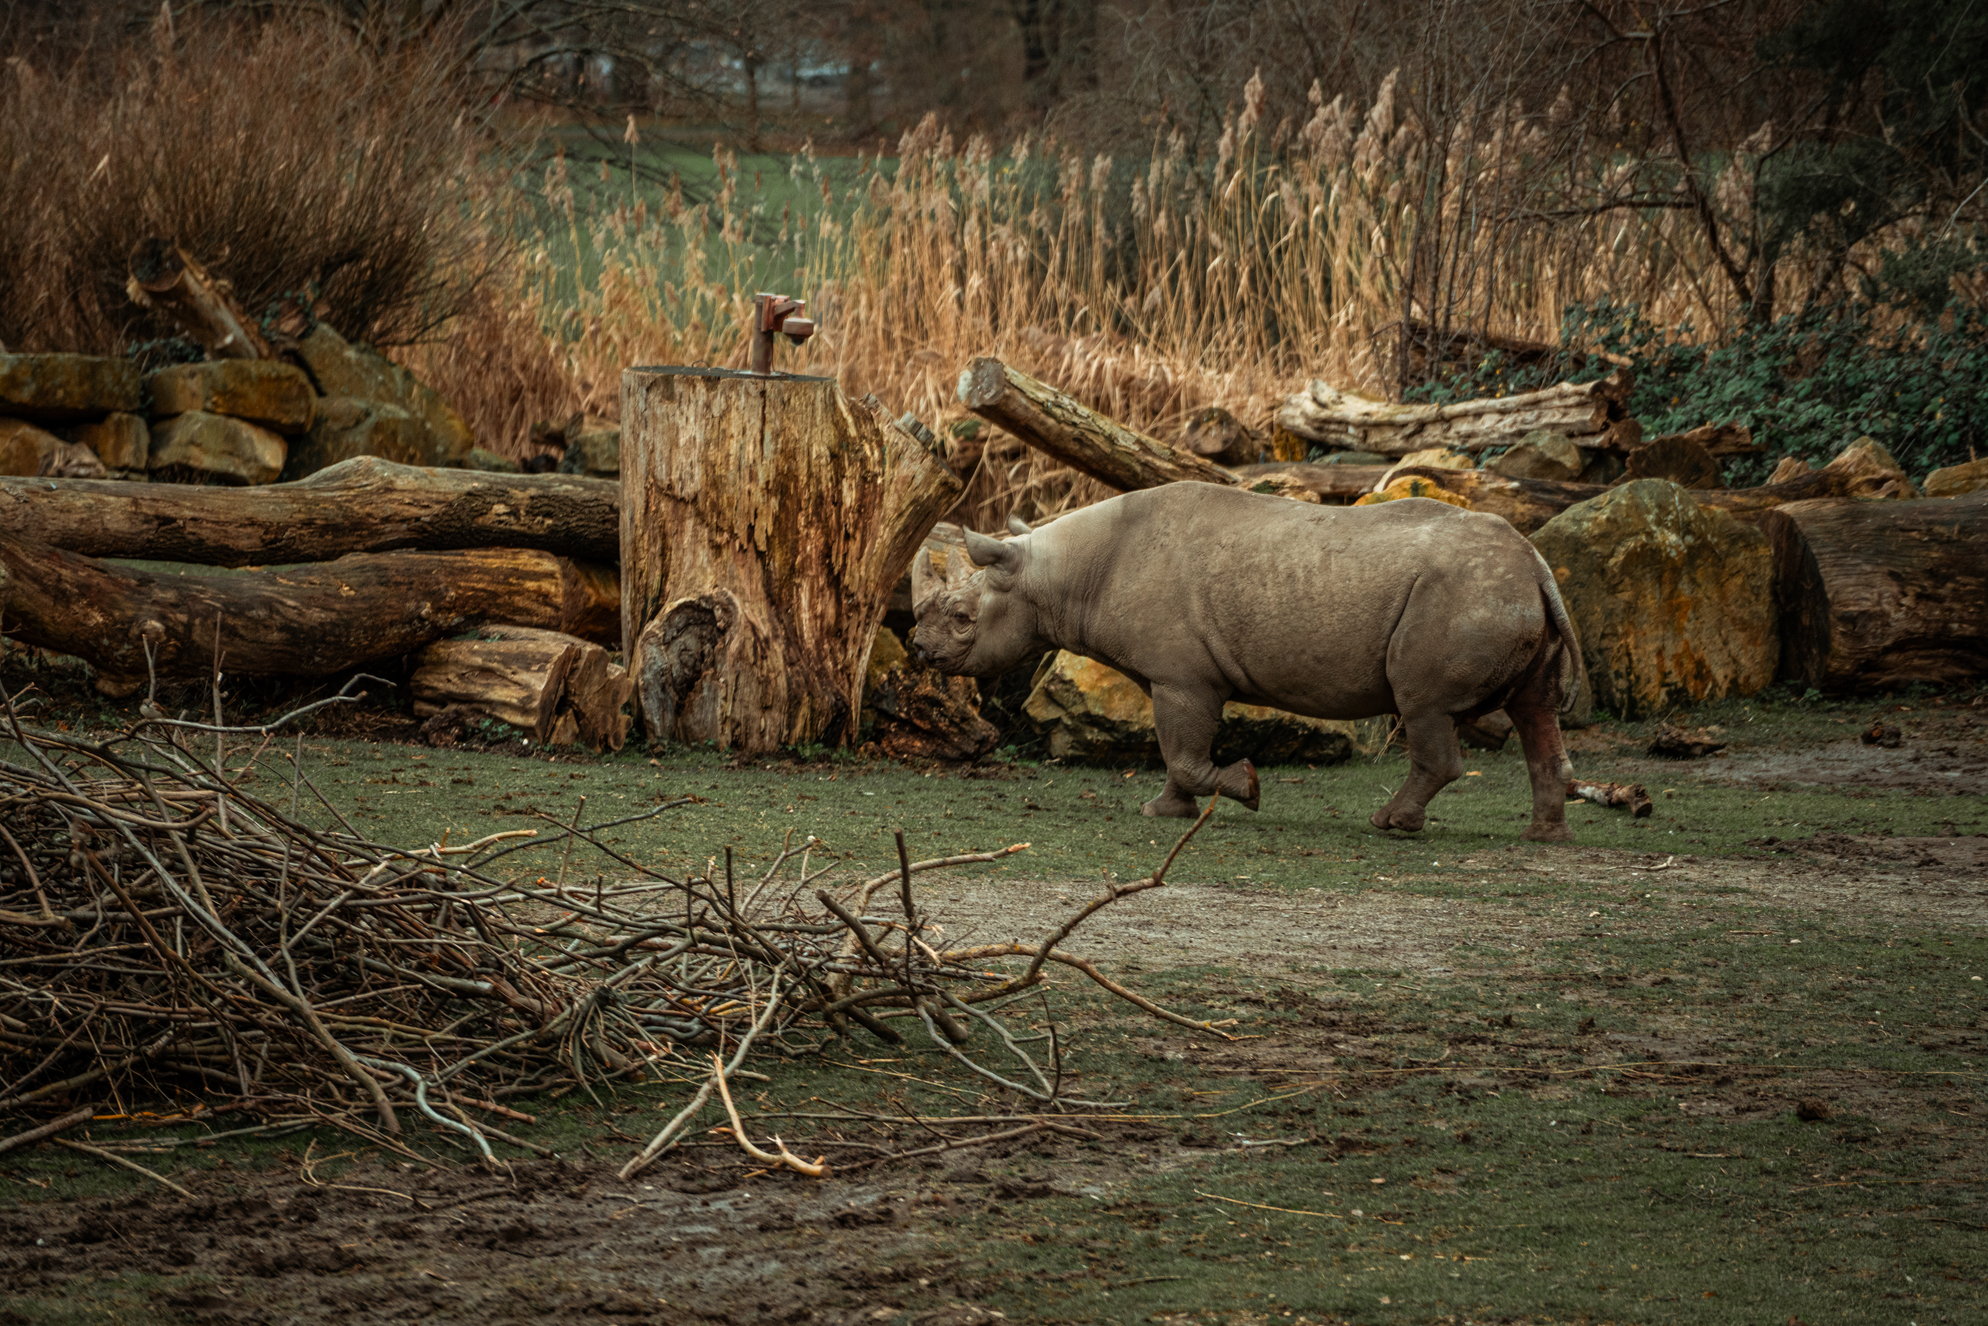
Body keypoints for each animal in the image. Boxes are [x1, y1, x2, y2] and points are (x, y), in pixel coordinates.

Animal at [911, 482, 1580, 841]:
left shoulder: (1182, 676)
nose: (919, 649)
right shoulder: (1172, 676)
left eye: (963, 618)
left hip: (1463, 596)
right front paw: (1166, 810)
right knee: (1535, 713)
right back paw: (1544, 834)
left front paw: (1246, 789)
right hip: (1504, 594)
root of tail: (1534, 561)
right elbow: (1175, 753)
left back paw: (1389, 823)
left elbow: (1183, 749)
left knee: (1425, 708)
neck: (1055, 573)